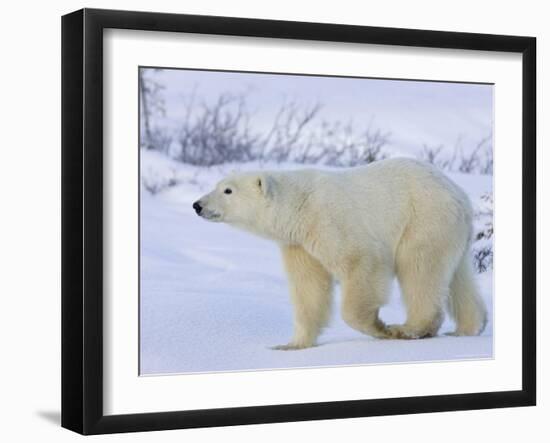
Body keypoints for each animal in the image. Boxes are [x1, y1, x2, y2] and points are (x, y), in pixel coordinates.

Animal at [194, 159, 488, 350]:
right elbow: (309, 288)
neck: (299, 206)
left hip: (423, 220)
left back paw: (409, 328)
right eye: (218, 185)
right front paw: (291, 344)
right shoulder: (299, 244)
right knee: (457, 277)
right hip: (451, 232)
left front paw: (379, 327)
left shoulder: (329, 220)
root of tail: (459, 194)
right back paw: (470, 327)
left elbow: (361, 261)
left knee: (419, 269)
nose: (198, 205)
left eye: (228, 190)